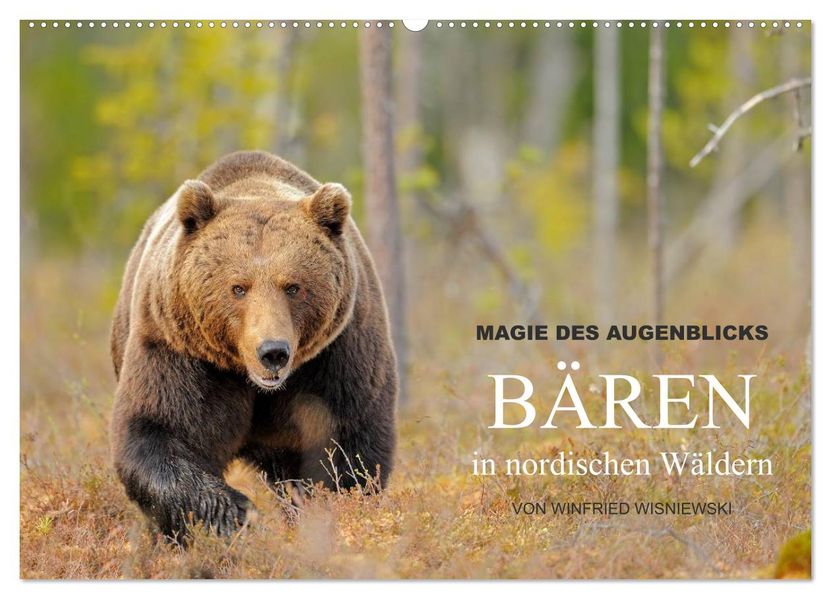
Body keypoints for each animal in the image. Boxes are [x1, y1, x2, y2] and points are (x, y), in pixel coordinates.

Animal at [109, 150, 398, 540]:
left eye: (293, 286)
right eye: (238, 287)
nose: (272, 352)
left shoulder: (337, 354)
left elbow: (347, 448)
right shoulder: (180, 350)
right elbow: (159, 429)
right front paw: (236, 514)